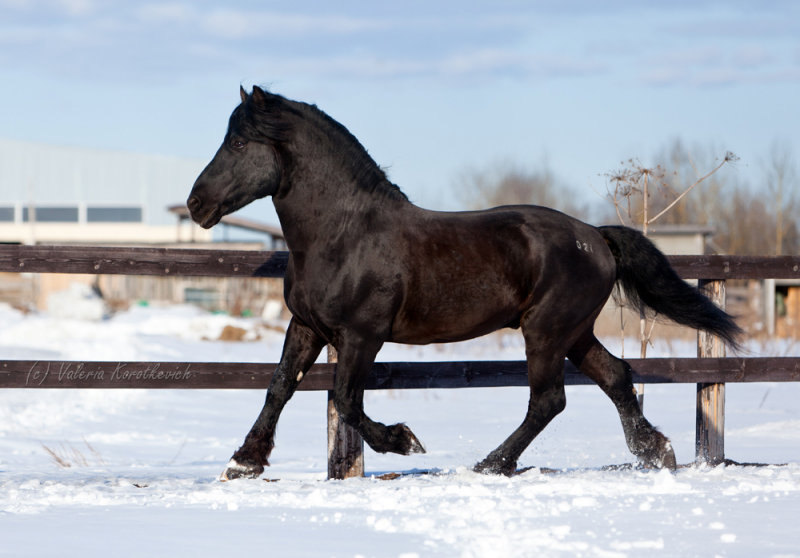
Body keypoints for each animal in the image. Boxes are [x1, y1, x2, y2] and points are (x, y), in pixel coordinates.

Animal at [186, 87, 736, 482]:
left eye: (238, 143)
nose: (196, 203)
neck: (343, 234)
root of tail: (595, 238)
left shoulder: (362, 336)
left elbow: (345, 399)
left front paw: (404, 440)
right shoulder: (306, 325)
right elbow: (279, 387)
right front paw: (243, 462)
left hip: (545, 331)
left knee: (548, 400)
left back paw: (492, 464)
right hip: (574, 332)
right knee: (616, 377)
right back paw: (656, 452)